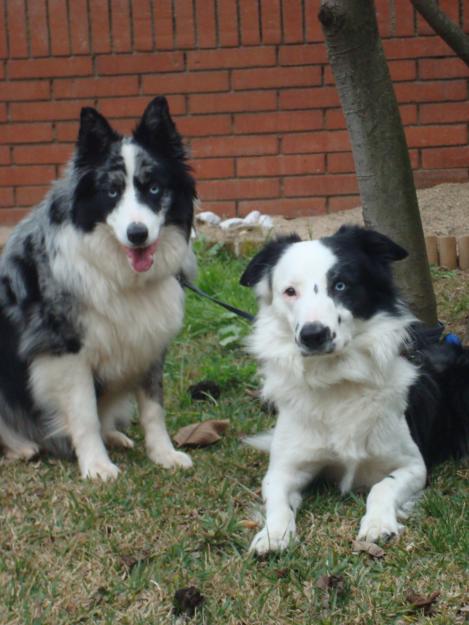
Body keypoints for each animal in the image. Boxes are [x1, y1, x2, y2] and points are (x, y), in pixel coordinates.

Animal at [0, 96, 196, 478]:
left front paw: (163, 454)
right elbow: (84, 412)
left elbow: (154, 408)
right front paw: (96, 465)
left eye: (153, 188)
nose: (138, 234)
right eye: (112, 191)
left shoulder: (149, 340)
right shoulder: (66, 349)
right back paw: (21, 448)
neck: (118, 273)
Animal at [239, 224, 466, 552]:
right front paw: (273, 534)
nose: (313, 335)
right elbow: (278, 501)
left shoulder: (412, 465)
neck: (336, 378)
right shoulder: (283, 469)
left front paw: (378, 524)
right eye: (290, 291)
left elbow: (382, 488)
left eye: (341, 285)